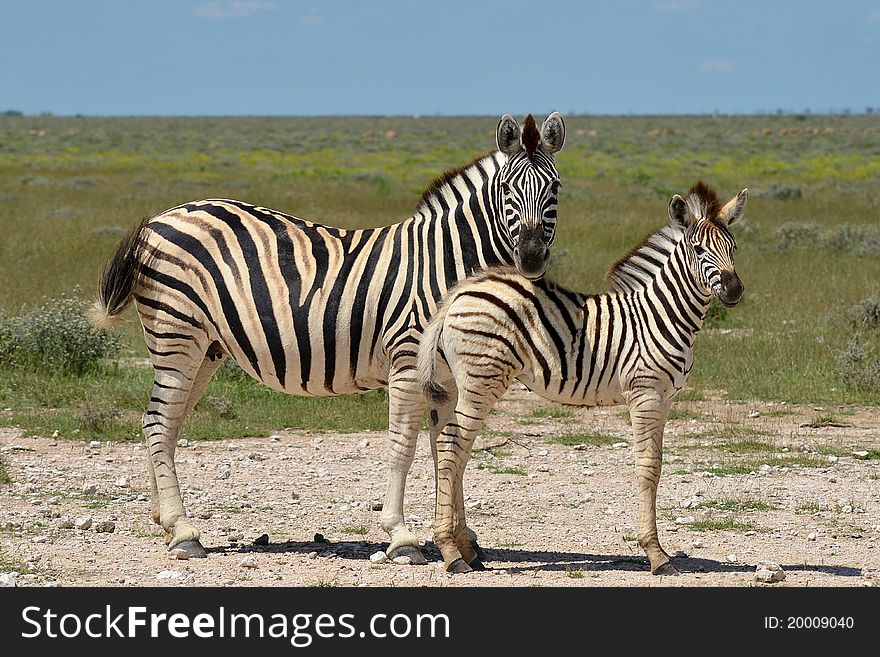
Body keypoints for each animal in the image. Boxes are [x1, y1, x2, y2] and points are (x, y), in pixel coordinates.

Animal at [89, 111, 568, 560]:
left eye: (556, 190)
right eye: (507, 191)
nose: (530, 258)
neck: (445, 263)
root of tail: (160, 218)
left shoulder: (446, 378)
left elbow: (451, 449)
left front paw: (462, 539)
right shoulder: (408, 359)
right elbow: (404, 444)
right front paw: (401, 537)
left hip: (206, 347)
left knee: (164, 424)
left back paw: (166, 522)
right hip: (177, 333)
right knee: (157, 421)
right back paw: (184, 531)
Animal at [420, 182, 748, 572]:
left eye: (734, 248)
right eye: (698, 250)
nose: (734, 290)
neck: (662, 314)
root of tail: (461, 292)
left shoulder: (666, 398)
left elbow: (657, 464)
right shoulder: (645, 393)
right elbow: (647, 467)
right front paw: (656, 554)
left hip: (461, 383)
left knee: (456, 449)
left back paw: (465, 549)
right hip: (481, 380)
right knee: (451, 445)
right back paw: (451, 552)